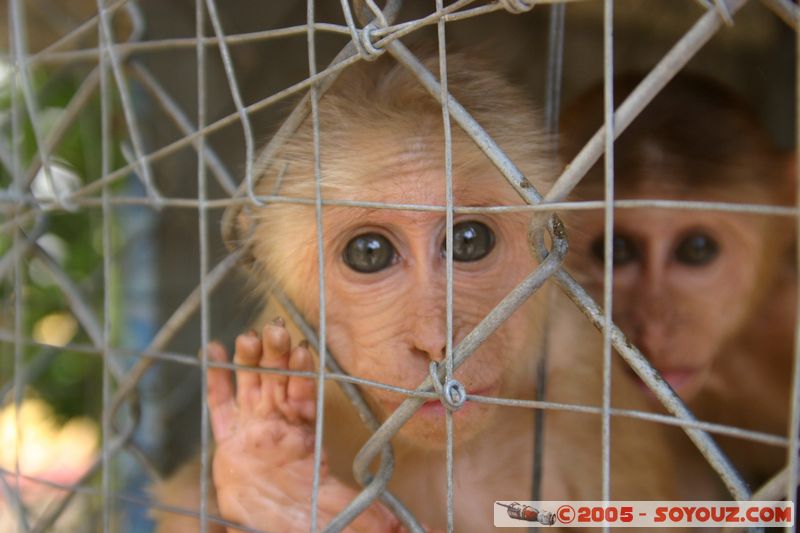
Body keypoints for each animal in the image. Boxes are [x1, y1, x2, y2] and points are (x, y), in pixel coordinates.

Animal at [150, 50, 691, 532]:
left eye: (469, 241)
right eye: (369, 252)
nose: (435, 344)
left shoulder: (585, 388)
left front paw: (280, 489)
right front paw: (275, 486)